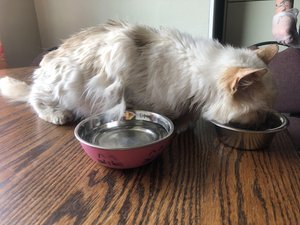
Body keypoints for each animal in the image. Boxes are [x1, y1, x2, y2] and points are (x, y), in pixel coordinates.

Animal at [0, 20, 278, 131]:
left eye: (266, 111)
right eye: (259, 111)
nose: (263, 122)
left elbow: (186, 116)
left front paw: (184, 125)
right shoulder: (134, 96)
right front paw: (177, 126)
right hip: (61, 85)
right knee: (34, 101)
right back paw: (57, 115)